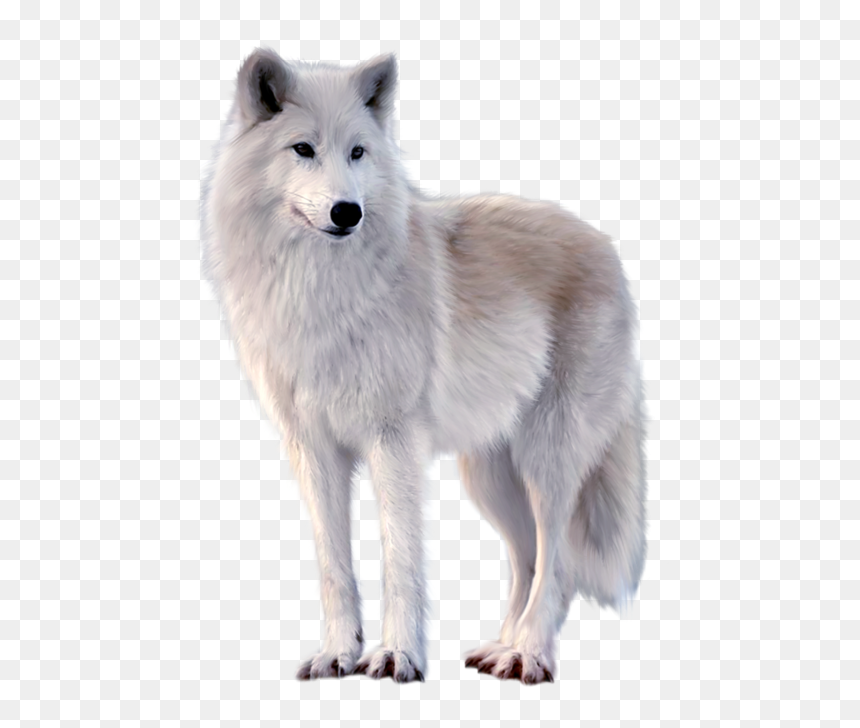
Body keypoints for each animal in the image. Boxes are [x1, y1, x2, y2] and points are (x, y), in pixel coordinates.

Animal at [199, 48, 647, 684]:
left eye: (358, 152)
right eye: (303, 148)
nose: (347, 212)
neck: (320, 290)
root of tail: (607, 246)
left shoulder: (394, 442)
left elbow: (401, 560)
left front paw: (397, 655)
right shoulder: (312, 449)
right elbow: (334, 567)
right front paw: (338, 654)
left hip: (549, 460)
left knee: (556, 566)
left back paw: (528, 654)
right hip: (490, 476)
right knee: (527, 560)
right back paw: (499, 648)